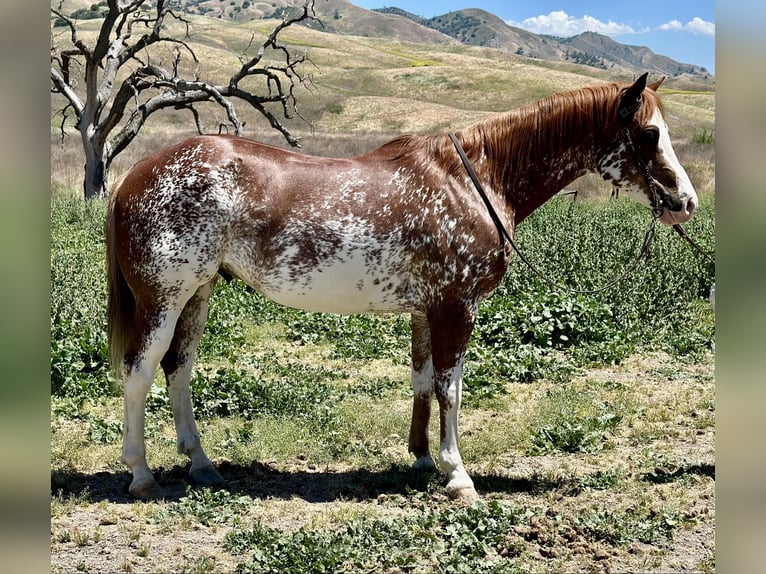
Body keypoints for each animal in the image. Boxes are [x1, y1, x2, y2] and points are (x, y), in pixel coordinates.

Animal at [108, 72, 704, 502]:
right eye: (649, 134)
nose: (686, 203)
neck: (472, 182)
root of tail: (134, 175)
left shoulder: (425, 310)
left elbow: (420, 382)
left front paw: (420, 458)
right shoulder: (456, 309)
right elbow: (450, 389)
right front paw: (458, 475)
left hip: (199, 293)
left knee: (178, 369)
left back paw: (201, 464)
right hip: (164, 298)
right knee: (140, 372)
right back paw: (141, 474)